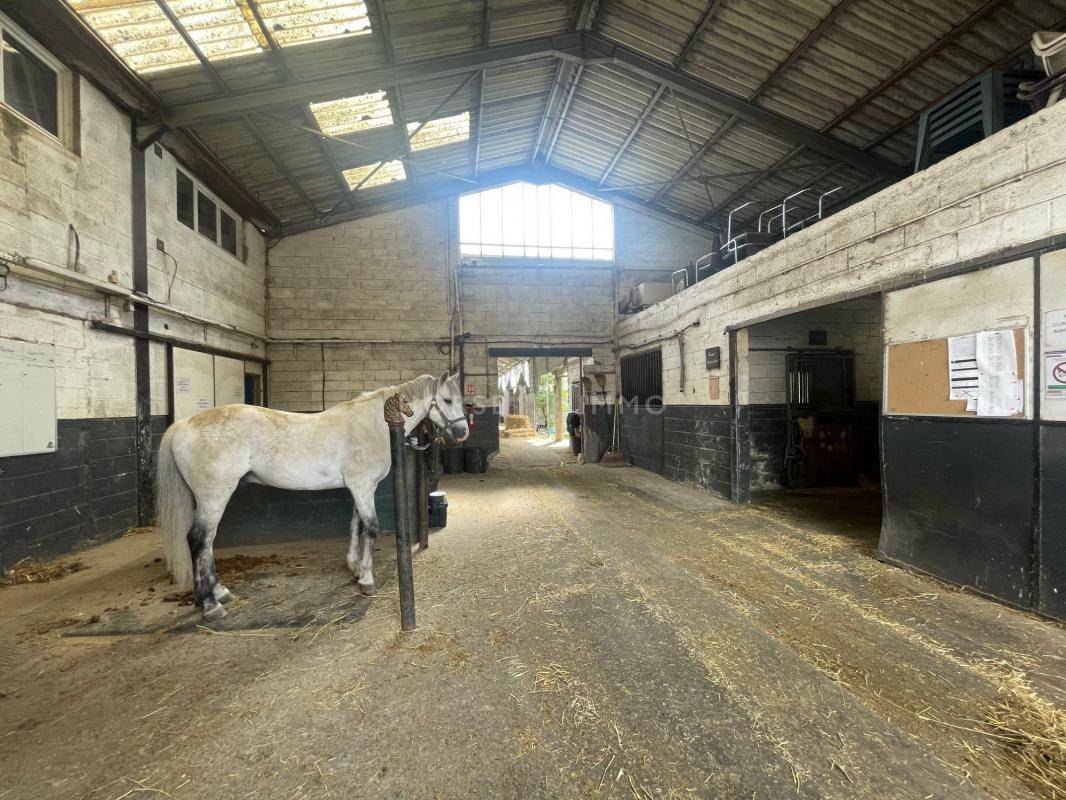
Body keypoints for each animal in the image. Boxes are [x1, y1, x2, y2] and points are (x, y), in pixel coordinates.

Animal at [155, 373, 470, 621]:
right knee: (199, 540)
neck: (373, 423)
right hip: (214, 497)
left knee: (206, 543)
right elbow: (370, 527)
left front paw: (354, 567)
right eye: (447, 400)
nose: (463, 432)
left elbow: (355, 523)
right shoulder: (362, 486)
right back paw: (210, 605)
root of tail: (182, 425)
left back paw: (219, 592)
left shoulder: (359, 488)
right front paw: (366, 580)